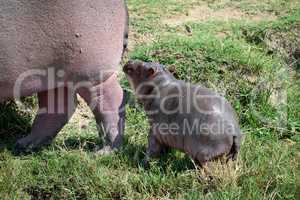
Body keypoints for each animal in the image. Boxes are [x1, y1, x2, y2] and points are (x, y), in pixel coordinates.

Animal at [0, 0, 129, 153]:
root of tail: (122, 4)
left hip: (92, 74)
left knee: (110, 101)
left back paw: (104, 151)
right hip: (53, 73)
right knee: (58, 108)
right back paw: (25, 145)